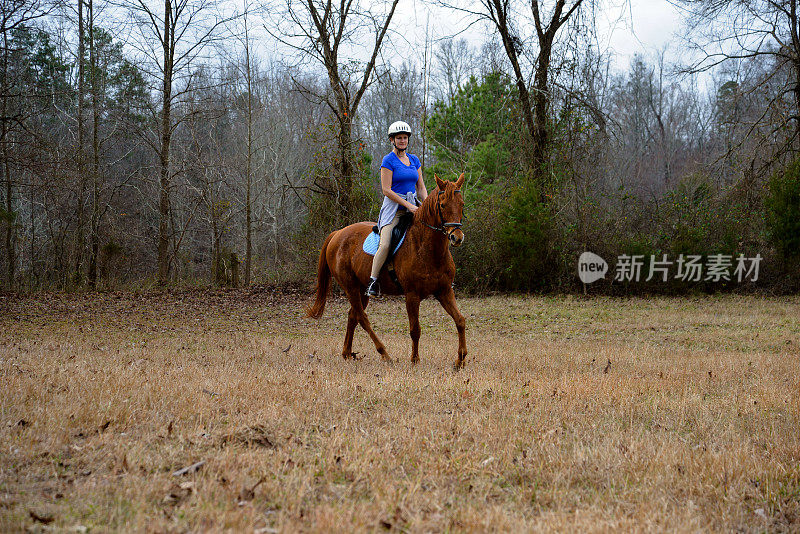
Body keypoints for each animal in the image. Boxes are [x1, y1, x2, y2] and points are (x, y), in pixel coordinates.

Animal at [306, 174, 468, 370]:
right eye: (443, 205)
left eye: (462, 204)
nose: (456, 237)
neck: (427, 248)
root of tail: (337, 234)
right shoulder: (412, 295)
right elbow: (415, 329)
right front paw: (415, 360)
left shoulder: (444, 291)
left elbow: (460, 320)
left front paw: (460, 359)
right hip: (350, 287)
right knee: (362, 317)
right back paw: (384, 353)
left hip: (361, 289)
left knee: (353, 316)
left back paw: (347, 353)